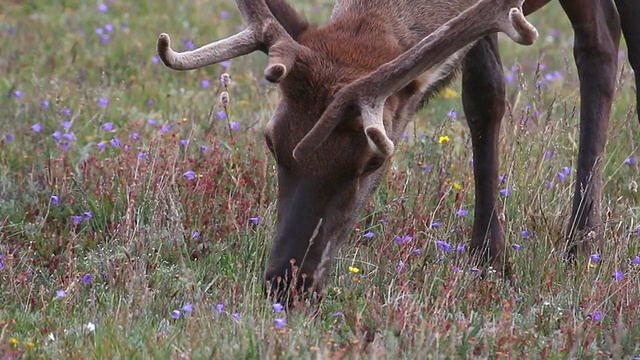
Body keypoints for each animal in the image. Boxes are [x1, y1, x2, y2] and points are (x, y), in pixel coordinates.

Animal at [156, 0, 640, 300]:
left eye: (374, 159)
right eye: (273, 142)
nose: (286, 283)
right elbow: (483, 95)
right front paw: (489, 259)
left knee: (600, 43)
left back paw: (581, 243)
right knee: (601, 37)